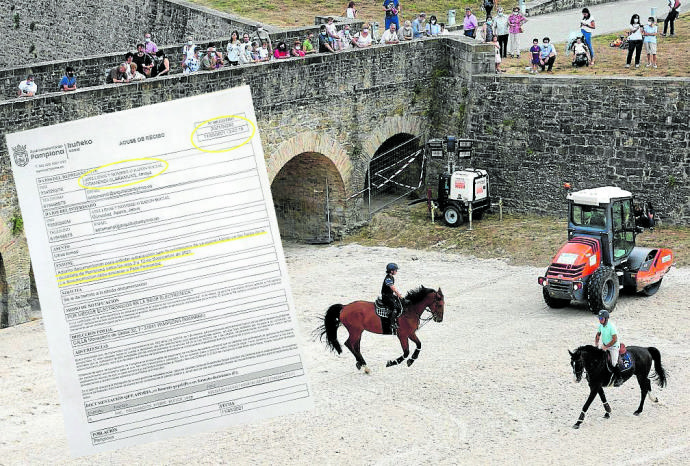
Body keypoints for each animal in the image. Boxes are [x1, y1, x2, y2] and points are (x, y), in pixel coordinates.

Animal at [316, 286, 444, 374]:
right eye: (439, 305)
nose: (440, 319)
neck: (410, 310)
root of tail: (344, 307)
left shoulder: (411, 333)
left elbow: (419, 344)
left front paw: (411, 361)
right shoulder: (402, 335)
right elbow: (406, 352)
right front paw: (392, 363)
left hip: (358, 332)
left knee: (355, 346)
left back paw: (362, 364)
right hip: (355, 331)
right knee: (349, 343)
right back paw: (364, 365)